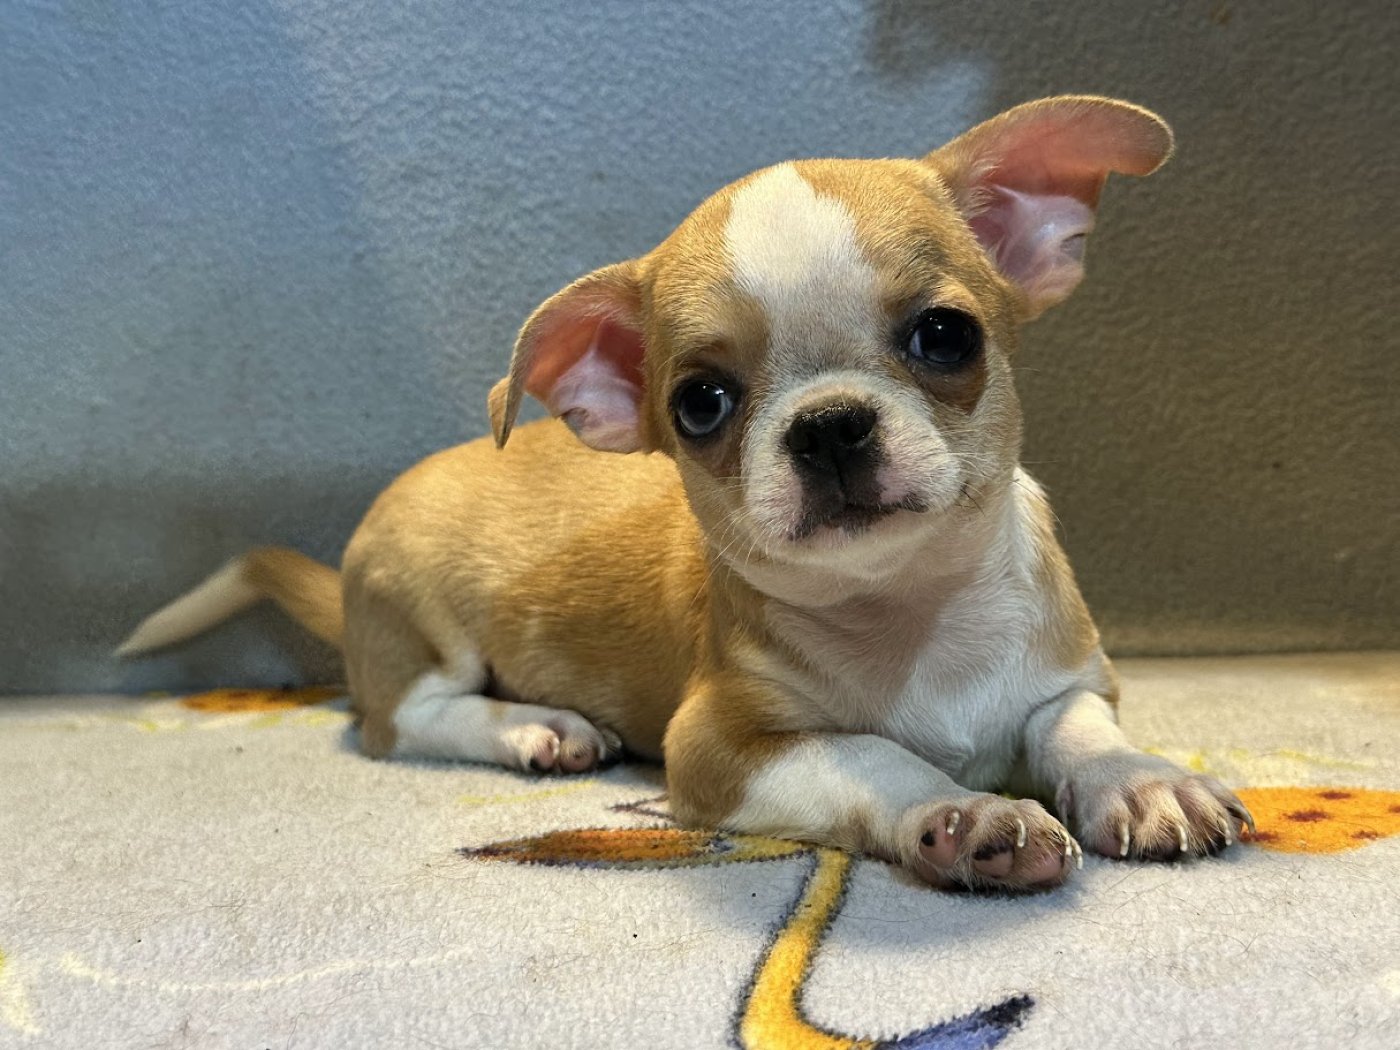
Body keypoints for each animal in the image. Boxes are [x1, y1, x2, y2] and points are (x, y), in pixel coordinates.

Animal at [120, 96, 1254, 892]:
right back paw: (534, 728)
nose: (828, 423)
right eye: (700, 403)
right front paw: (965, 815)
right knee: (405, 719)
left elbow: (1077, 730)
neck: (910, 615)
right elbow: (869, 756)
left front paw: (1143, 777)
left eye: (946, 336)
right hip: (424, 627)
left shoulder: (1069, 680)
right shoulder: (721, 750)